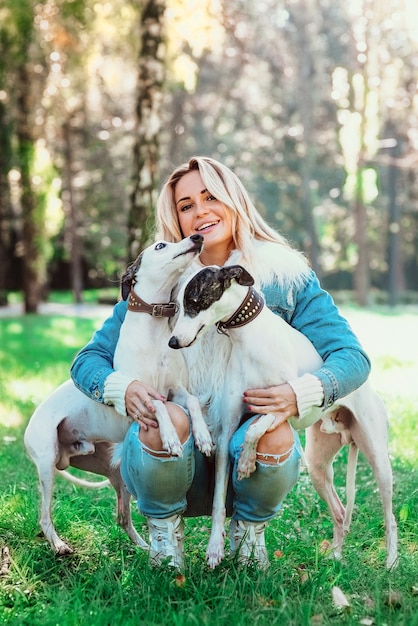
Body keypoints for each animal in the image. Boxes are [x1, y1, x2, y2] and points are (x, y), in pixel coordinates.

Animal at [24, 233, 211, 552]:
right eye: (160, 245)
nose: (197, 237)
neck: (154, 331)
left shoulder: (176, 390)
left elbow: (193, 402)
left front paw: (203, 436)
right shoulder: (140, 395)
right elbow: (159, 406)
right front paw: (171, 437)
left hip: (116, 473)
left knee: (122, 518)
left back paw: (145, 547)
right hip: (47, 464)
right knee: (44, 516)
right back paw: (59, 545)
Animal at [167, 264, 398, 572]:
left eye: (194, 302)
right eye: (177, 306)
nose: (172, 342)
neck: (250, 337)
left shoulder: (283, 404)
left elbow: (255, 430)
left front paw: (247, 461)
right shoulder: (226, 431)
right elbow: (217, 500)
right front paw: (215, 547)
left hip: (378, 459)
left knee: (390, 516)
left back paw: (391, 561)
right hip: (317, 466)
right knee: (339, 511)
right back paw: (335, 557)